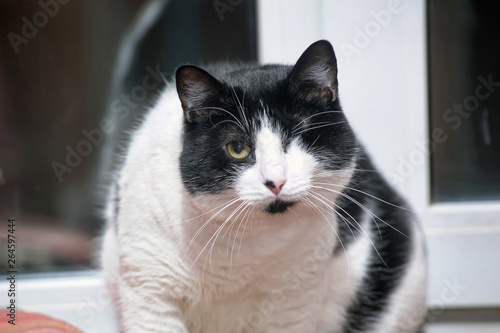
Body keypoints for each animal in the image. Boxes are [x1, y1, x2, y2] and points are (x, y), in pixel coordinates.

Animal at [99, 40, 428, 330]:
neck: (242, 248)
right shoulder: (151, 296)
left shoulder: (292, 306)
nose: (276, 181)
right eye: (237, 148)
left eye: (297, 137)